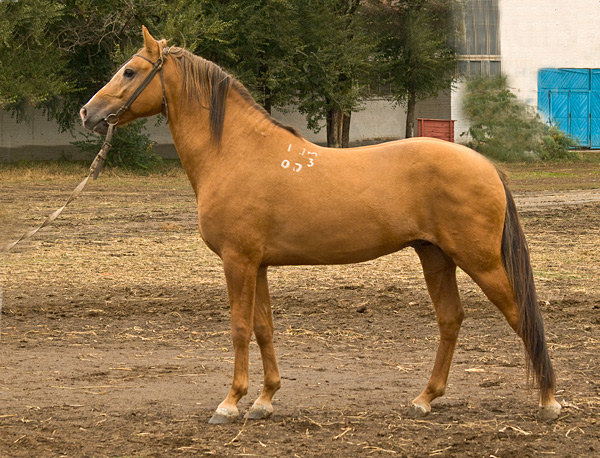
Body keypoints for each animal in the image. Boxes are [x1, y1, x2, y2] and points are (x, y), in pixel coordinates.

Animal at [81, 26, 564, 424]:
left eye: (129, 71)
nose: (87, 113)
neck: (235, 152)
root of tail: (486, 165)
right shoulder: (257, 265)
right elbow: (263, 328)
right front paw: (264, 400)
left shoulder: (238, 261)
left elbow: (239, 328)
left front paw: (230, 403)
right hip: (435, 256)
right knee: (450, 319)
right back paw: (424, 399)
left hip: (479, 260)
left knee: (519, 314)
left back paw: (548, 401)